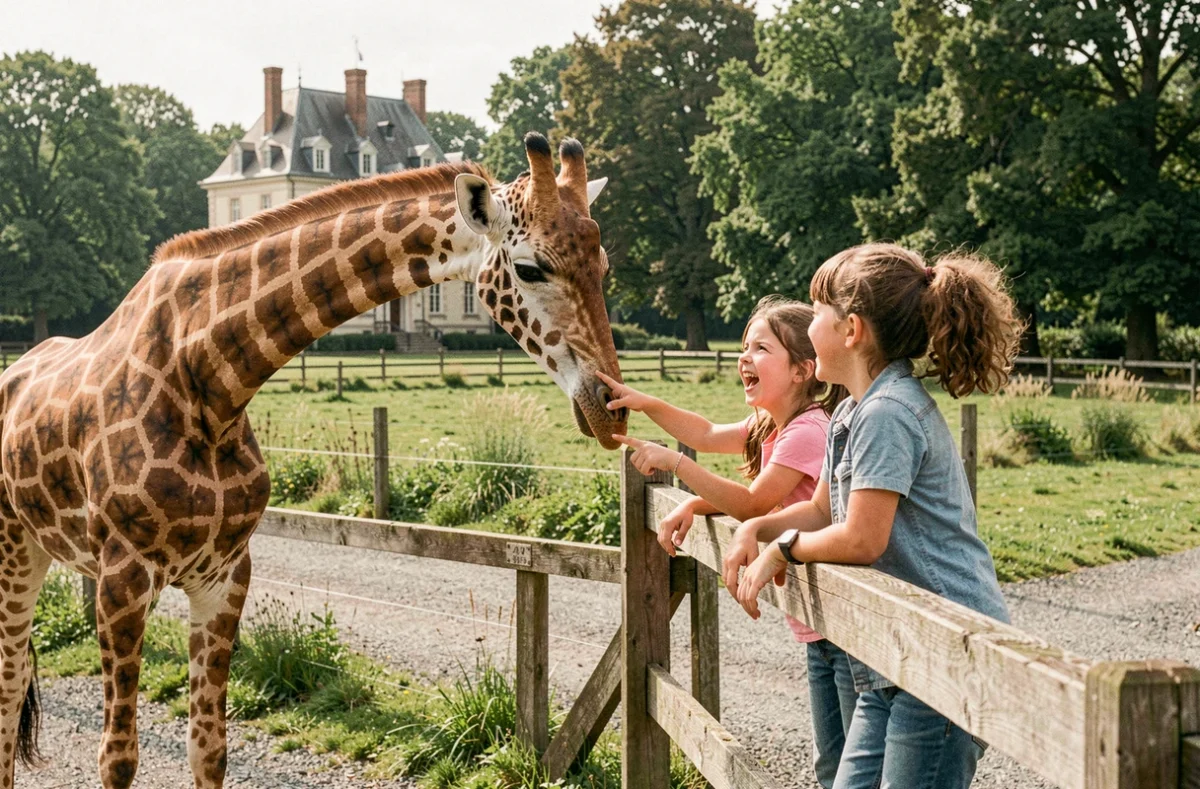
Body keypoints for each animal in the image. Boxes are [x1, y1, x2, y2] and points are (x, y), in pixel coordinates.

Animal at [0, 132, 627, 788]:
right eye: (531, 268)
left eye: (604, 267)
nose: (610, 409)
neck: (210, 382)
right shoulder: (121, 579)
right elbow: (117, 758)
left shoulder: (224, 577)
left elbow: (210, 750)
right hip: (13, 549)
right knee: (10, 689)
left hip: (43, 550)